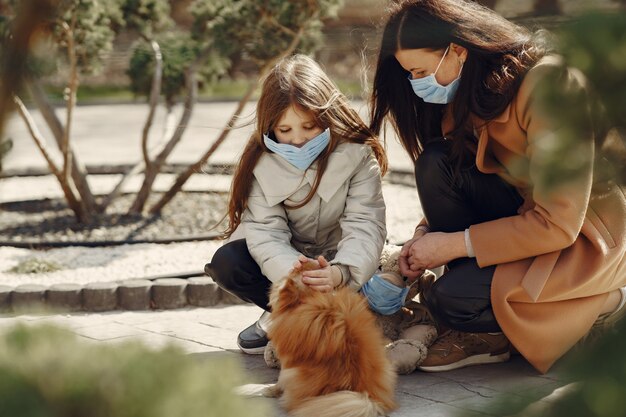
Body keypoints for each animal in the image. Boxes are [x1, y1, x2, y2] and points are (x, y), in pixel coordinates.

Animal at [264, 260, 394, 416]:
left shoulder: (286, 363)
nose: (302, 261)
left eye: (295, 272)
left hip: (293, 374)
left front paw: (270, 389)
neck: (309, 300)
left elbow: (279, 381)